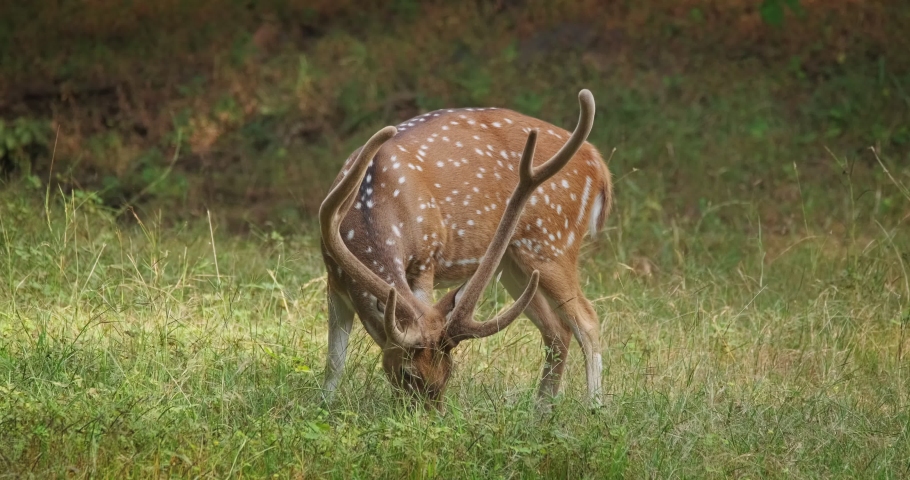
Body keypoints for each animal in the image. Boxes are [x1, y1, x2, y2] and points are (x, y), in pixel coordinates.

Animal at [319, 89, 612, 410]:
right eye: (408, 373)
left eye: (447, 372)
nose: (428, 415)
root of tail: (597, 161)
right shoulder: (333, 276)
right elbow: (334, 361)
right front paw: (323, 405)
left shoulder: (426, 259)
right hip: (513, 263)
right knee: (557, 329)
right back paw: (541, 409)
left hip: (552, 241)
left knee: (587, 320)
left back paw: (593, 406)